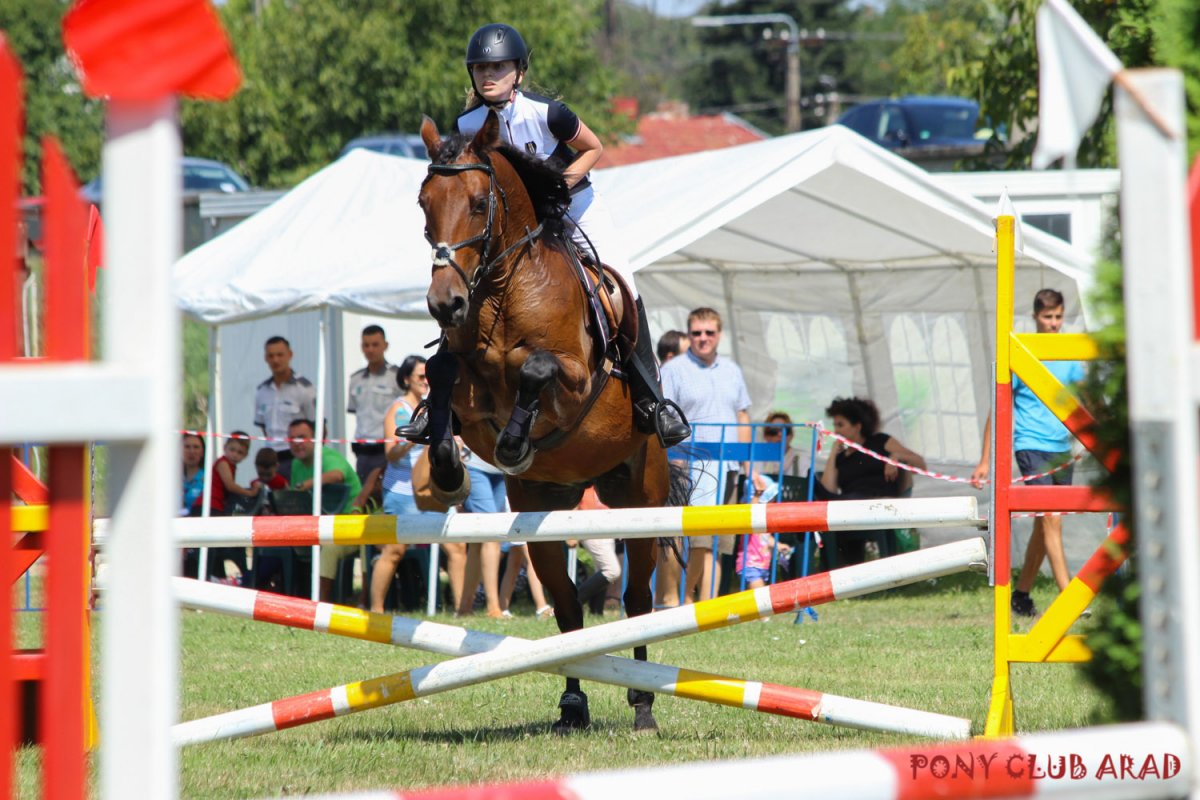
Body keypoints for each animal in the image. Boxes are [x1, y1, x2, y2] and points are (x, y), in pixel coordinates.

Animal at [420, 109, 686, 734]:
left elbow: (536, 369)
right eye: (423, 204)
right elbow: (441, 373)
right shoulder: (464, 383)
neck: (501, 292)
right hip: (540, 510)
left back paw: (643, 706)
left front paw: (515, 442)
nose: (445, 304)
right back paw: (572, 707)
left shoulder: (576, 381)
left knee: (638, 602)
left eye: (477, 203)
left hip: (641, 500)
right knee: (566, 608)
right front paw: (446, 471)